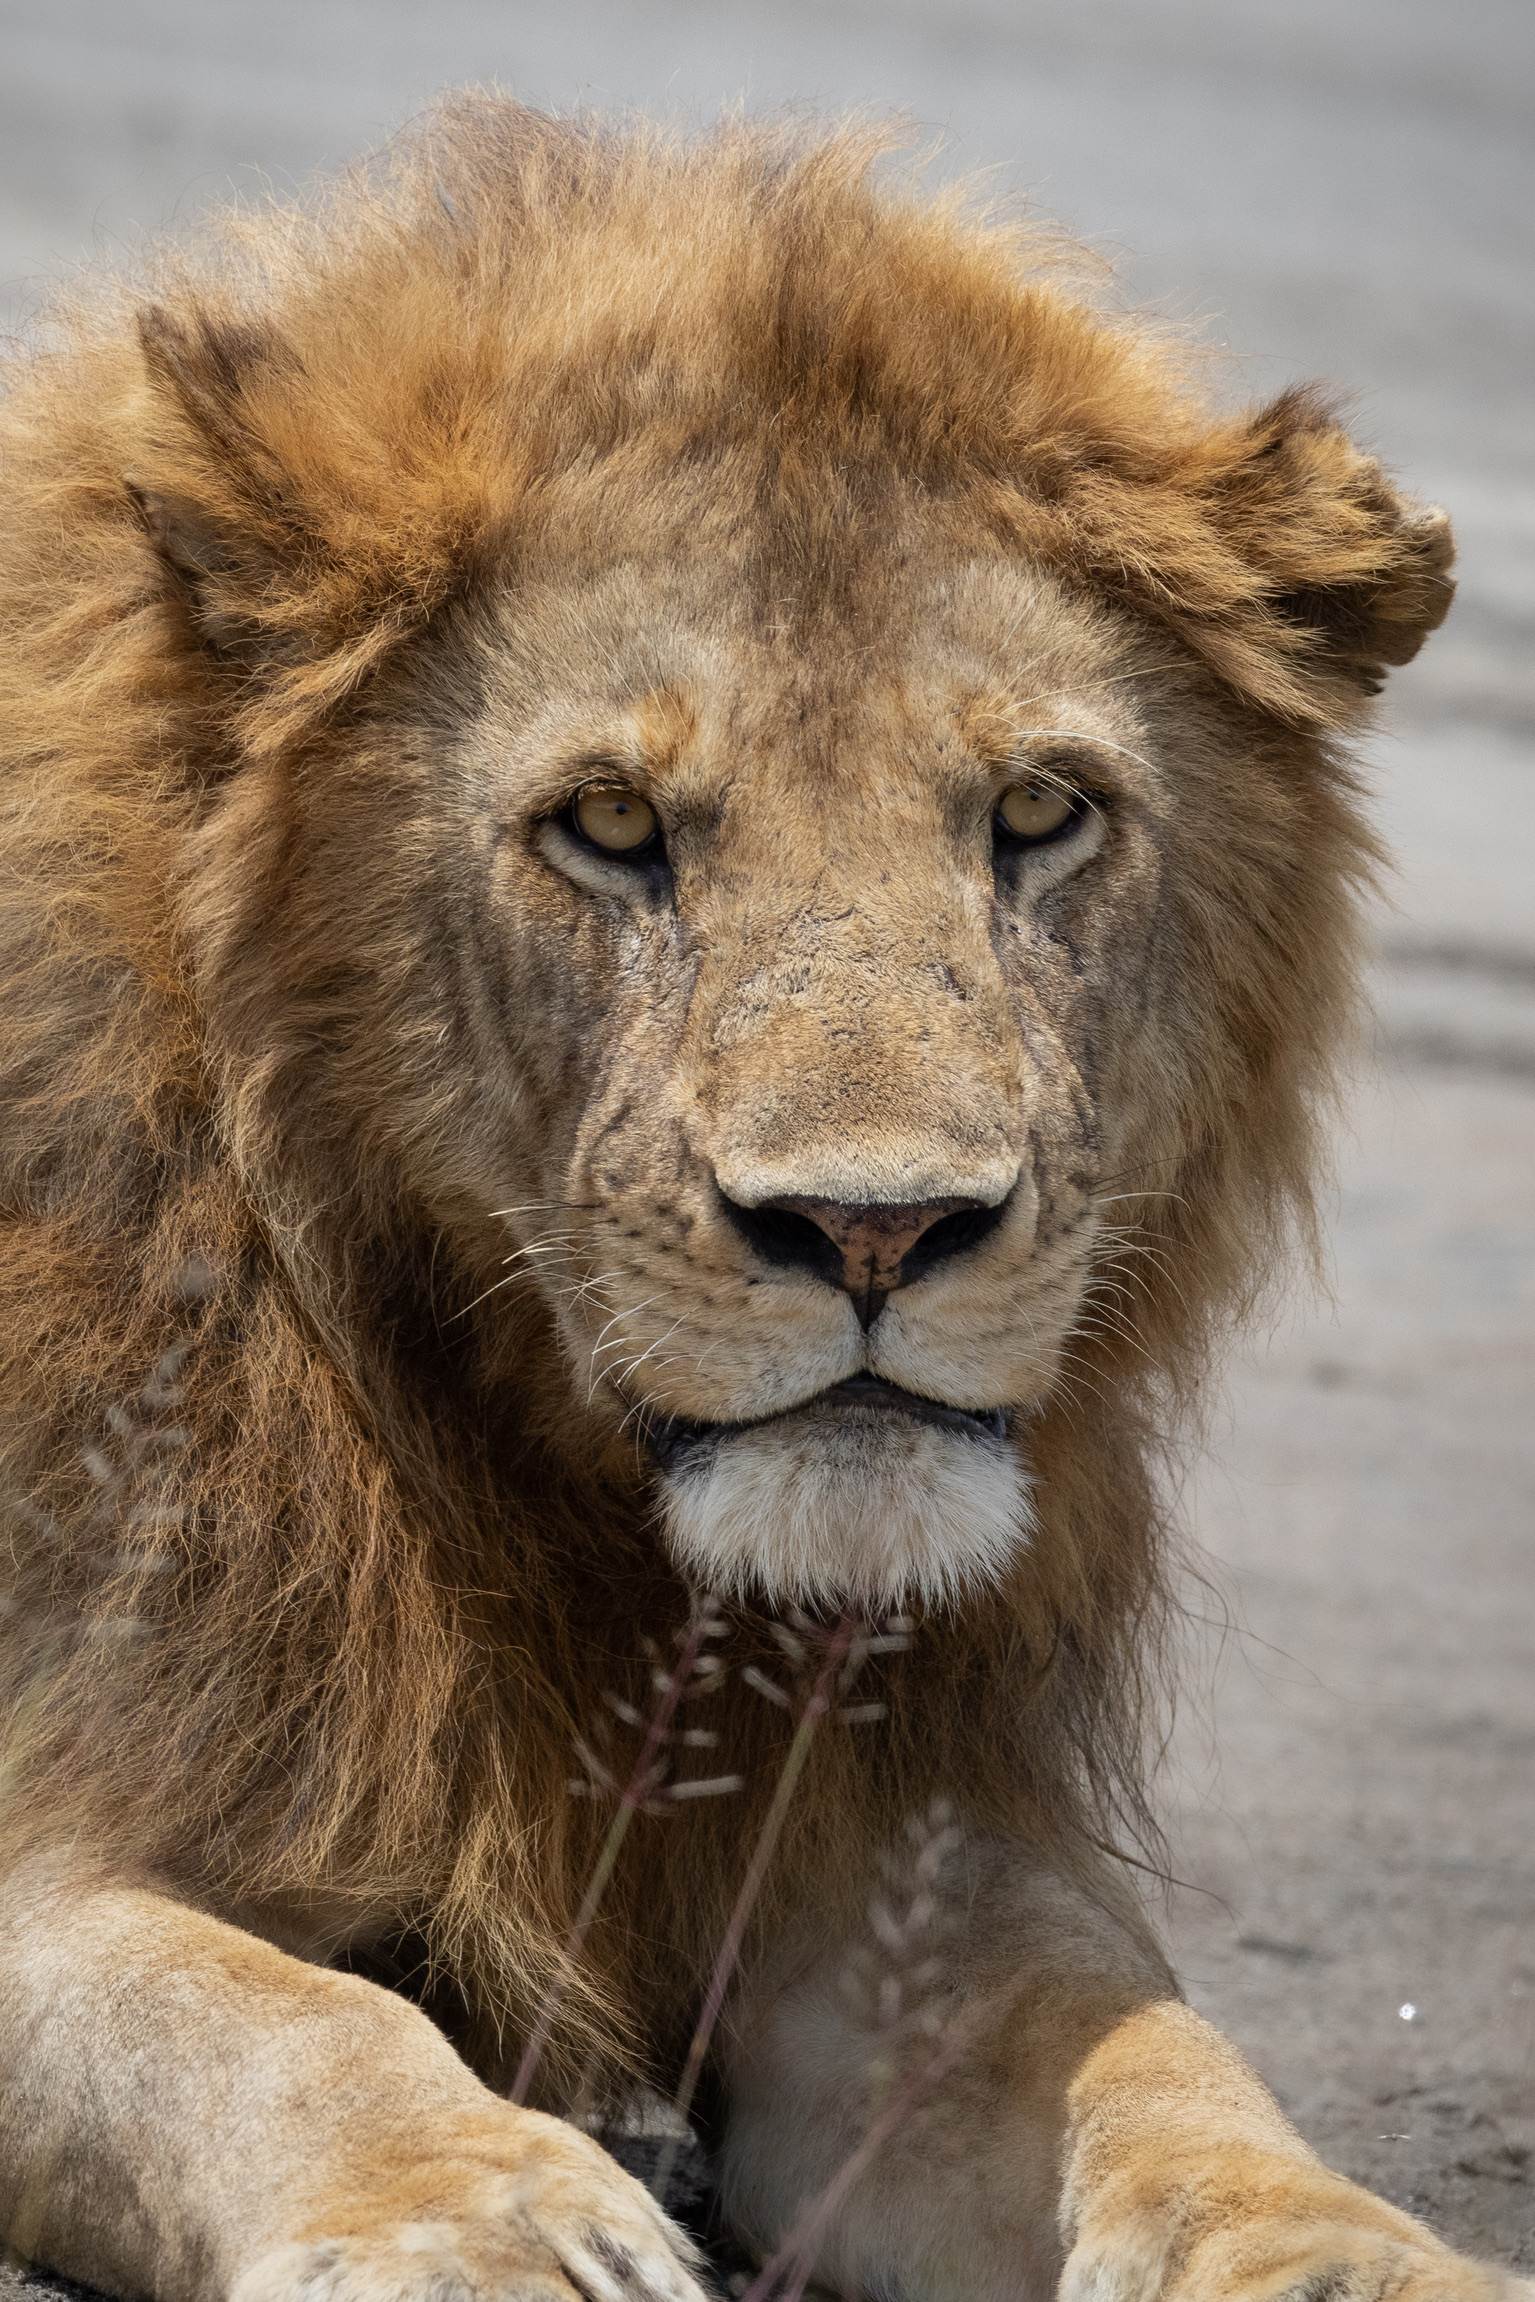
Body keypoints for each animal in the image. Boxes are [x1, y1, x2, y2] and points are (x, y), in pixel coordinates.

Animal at [0, 94, 1510, 2302]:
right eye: (609, 824)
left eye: (1038, 811)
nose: (876, 1230)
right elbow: (269, 2014)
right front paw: (490, 2217)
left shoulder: (896, 1870)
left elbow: (1151, 2053)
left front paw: (1334, 2249)